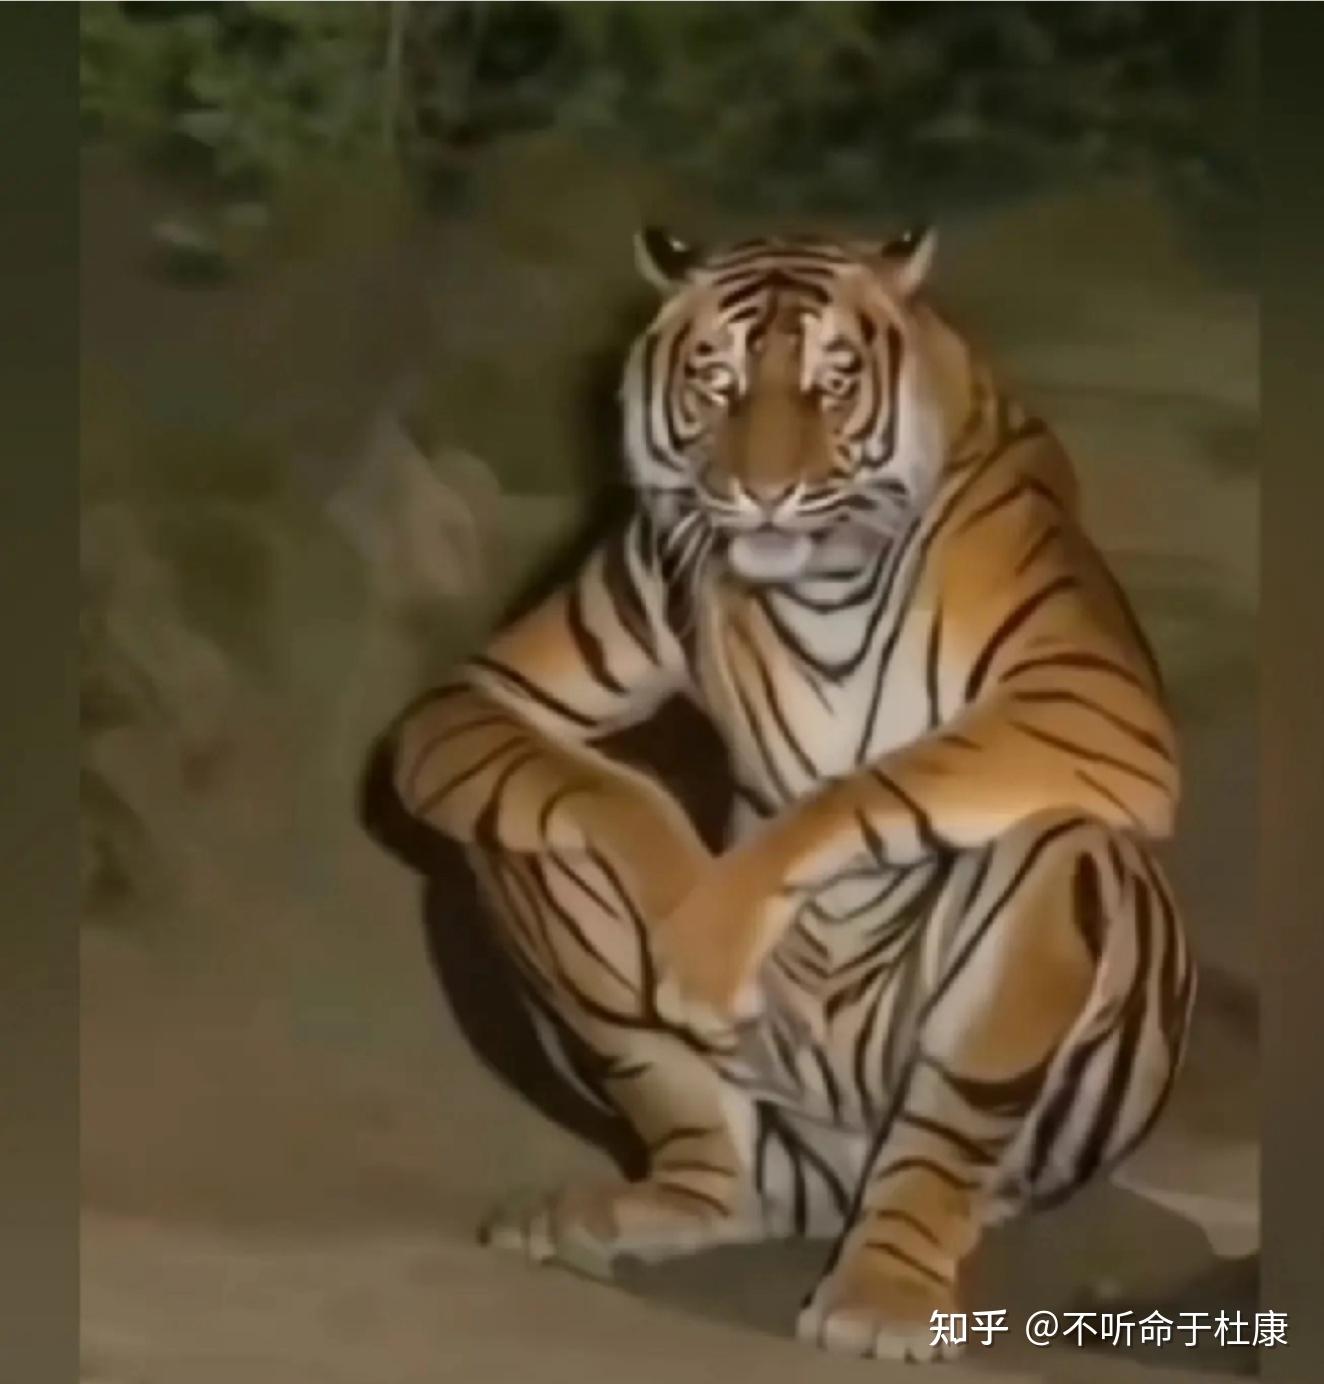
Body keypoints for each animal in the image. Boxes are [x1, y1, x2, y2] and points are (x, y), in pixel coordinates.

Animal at [386, 225, 1195, 1363]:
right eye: (718, 382)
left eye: (833, 383)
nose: (763, 492)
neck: (819, 584)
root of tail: (827, 1183)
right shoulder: (502, 686)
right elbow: (612, 789)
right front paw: (687, 920)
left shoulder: (1091, 698)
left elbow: (874, 782)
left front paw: (712, 923)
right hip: (679, 1046)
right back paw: (639, 1211)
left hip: (1015, 996)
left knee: (949, 1113)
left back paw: (883, 1296)